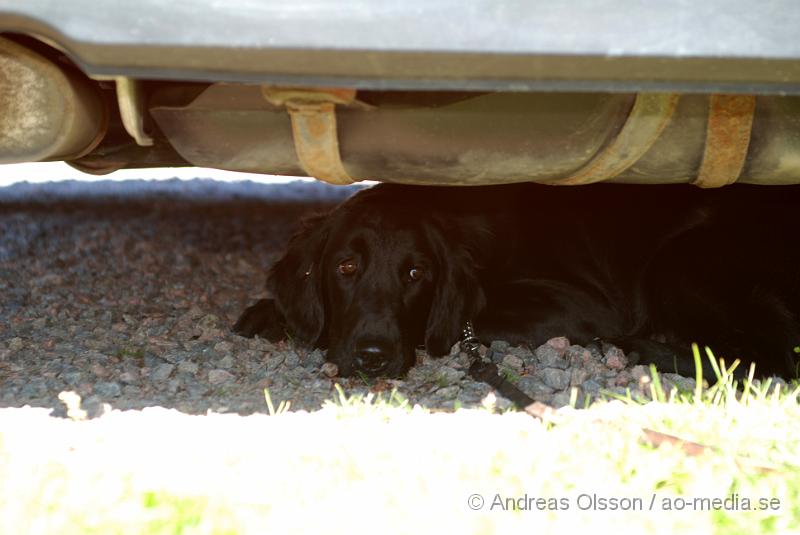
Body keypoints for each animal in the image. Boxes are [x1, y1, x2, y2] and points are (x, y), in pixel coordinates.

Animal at [231, 184, 800, 382]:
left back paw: (642, 348)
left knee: (766, 358)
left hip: (679, 258)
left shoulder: (584, 304)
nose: (373, 356)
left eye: (416, 274)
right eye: (345, 268)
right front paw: (269, 312)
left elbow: (473, 315)